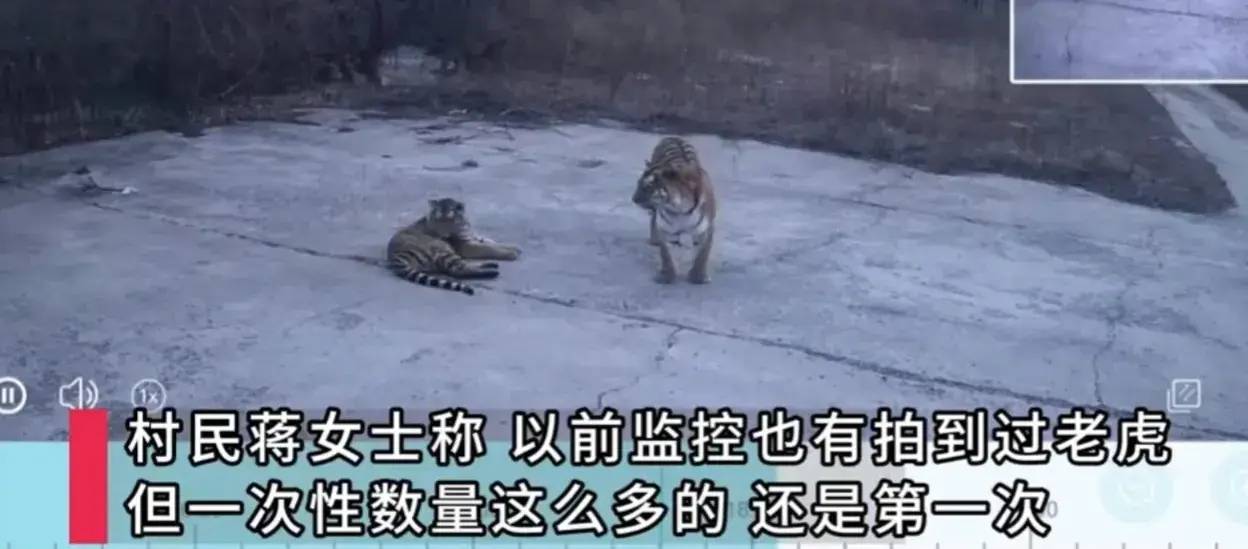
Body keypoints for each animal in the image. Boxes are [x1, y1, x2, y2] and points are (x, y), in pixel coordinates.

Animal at [386, 198, 522, 295]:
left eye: (448, 218)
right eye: (438, 218)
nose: (442, 234)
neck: (462, 224)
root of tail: (394, 256)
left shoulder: (471, 236)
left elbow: (489, 242)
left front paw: (514, 247)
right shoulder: (467, 246)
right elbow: (489, 249)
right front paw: (512, 253)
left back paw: (491, 265)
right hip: (442, 249)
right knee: (458, 270)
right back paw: (492, 272)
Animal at [631, 136, 718, 285]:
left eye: (647, 186)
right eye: (638, 183)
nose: (634, 199)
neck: (678, 208)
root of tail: (672, 137)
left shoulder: (706, 230)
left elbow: (702, 255)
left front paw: (698, 277)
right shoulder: (666, 230)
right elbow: (666, 255)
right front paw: (667, 276)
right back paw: (655, 240)